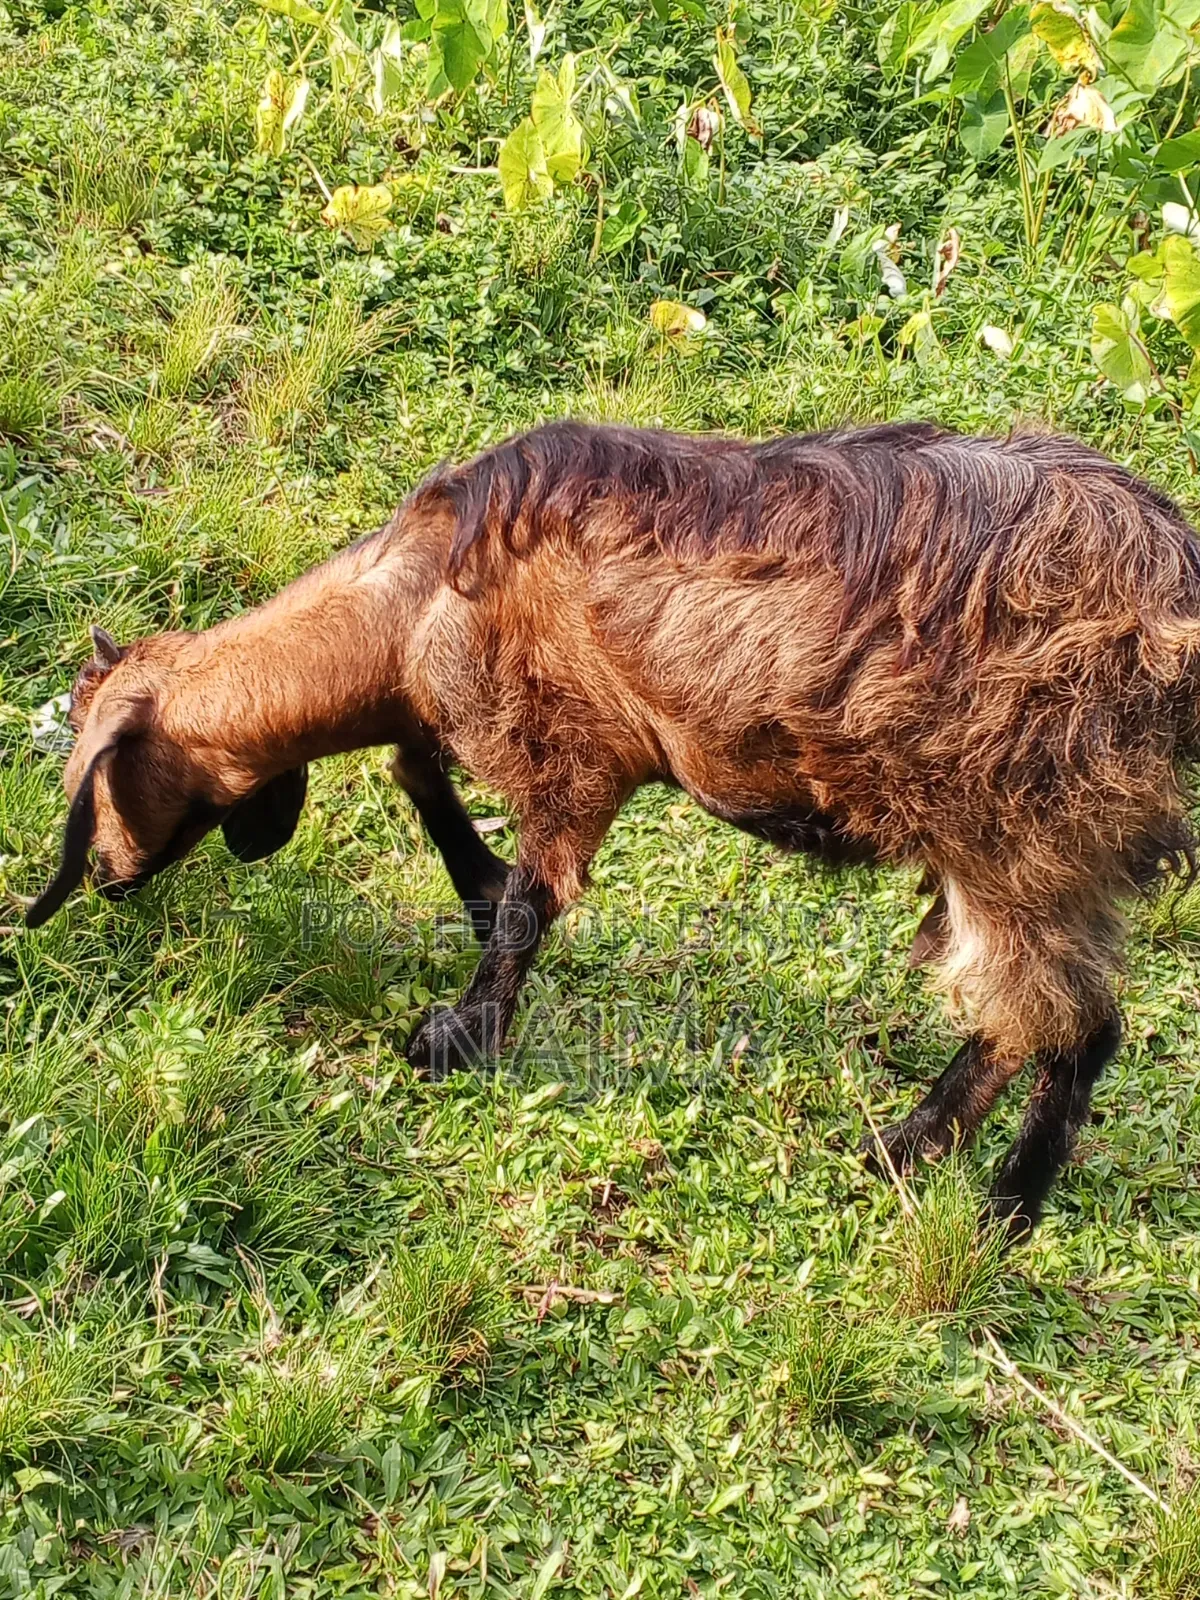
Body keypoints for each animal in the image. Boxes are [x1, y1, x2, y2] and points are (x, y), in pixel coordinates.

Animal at [27, 420, 1200, 1237]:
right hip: (1032, 852)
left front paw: (458, 1037)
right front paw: (473, 890)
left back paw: (1000, 1206)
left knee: (1076, 1027)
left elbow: (527, 906)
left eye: (99, 781)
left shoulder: (574, 750)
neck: (411, 605)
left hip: (1030, 832)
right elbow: (420, 774)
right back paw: (904, 1152)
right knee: (1028, 1022)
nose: (105, 885)